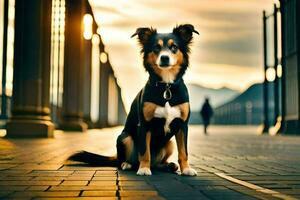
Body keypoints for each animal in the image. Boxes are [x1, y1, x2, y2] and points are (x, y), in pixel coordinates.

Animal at [68, 24, 199, 176]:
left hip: (169, 144)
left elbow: (184, 152)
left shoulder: (183, 126)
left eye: (174, 47)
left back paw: (168, 166)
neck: (166, 86)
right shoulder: (144, 125)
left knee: (157, 163)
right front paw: (144, 169)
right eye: (156, 47)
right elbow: (144, 151)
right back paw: (128, 164)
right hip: (124, 137)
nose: (164, 58)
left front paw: (186, 169)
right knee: (123, 161)